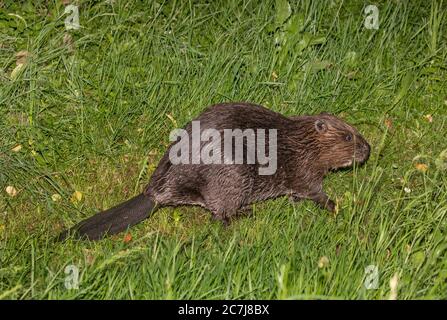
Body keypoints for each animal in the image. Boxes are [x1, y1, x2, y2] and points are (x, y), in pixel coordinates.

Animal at [58, 102, 372, 240]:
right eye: (348, 136)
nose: (368, 150)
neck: (300, 141)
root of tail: (154, 195)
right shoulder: (302, 168)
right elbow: (313, 190)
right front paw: (335, 206)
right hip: (233, 180)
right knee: (219, 213)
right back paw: (244, 216)